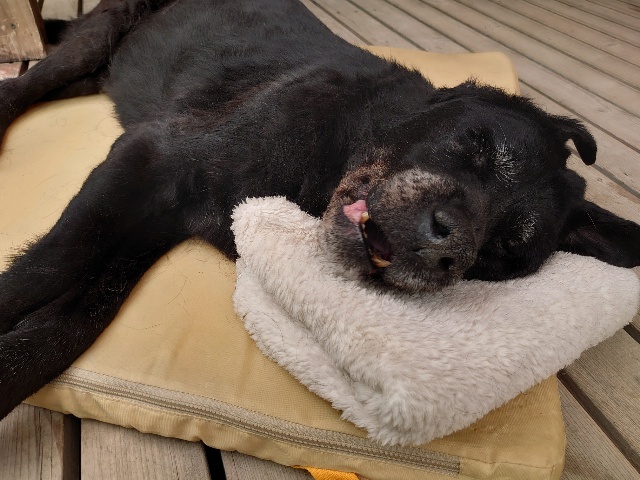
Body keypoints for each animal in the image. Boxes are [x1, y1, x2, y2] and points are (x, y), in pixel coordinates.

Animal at [0, 0, 639, 421]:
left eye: (505, 250)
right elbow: (47, 268)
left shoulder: (146, 234)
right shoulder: (148, 155)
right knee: (21, 87)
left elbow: (60, 330)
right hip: (95, 39)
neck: (342, 142)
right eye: (477, 149)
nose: (446, 249)